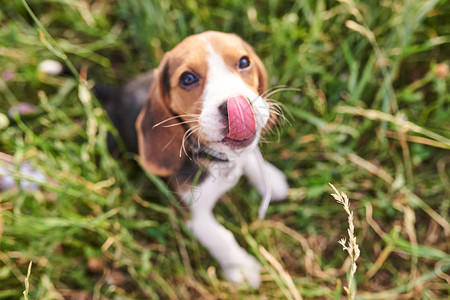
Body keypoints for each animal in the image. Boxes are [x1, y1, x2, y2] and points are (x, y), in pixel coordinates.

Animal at [101, 31, 288, 288]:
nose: (237, 105)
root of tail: (115, 93)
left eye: (243, 62)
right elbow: (220, 237)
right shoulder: (191, 213)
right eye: (187, 79)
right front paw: (241, 268)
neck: (220, 162)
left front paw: (268, 177)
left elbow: (251, 155)